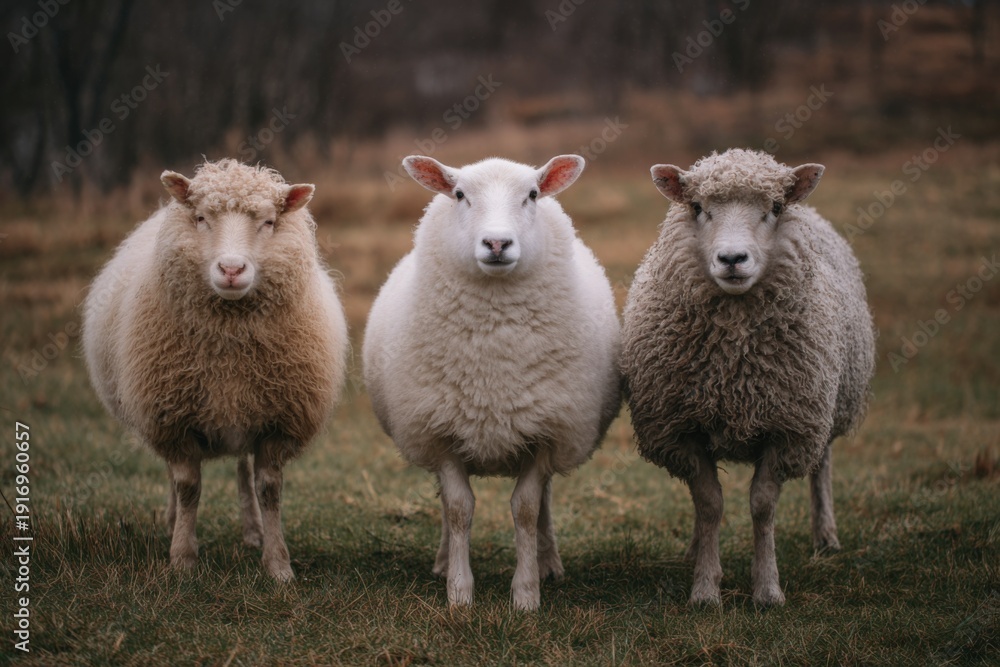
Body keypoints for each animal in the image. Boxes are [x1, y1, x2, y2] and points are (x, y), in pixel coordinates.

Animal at [82, 159, 348, 581]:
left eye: (269, 222)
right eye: (202, 218)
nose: (231, 268)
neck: (229, 338)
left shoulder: (277, 422)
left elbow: (269, 491)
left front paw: (278, 564)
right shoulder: (173, 420)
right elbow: (188, 487)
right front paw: (182, 559)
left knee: (242, 468)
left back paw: (253, 531)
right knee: (175, 478)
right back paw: (172, 521)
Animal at [363, 154, 621, 610]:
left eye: (532, 194)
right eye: (459, 194)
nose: (497, 244)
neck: (493, 364)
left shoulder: (546, 432)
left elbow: (527, 509)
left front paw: (527, 594)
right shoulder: (441, 432)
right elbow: (458, 509)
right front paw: (459, 593)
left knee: (546, 500)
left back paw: (548, 561)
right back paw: (443, 561)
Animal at [621, 149, 875, 606]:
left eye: (774, 207)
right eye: (697, 207)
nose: (733, 260)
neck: (734, 365)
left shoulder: (788, 428)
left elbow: (762, 507)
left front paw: (768, 588)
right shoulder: (682, 428)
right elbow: (708, 504)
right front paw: (705, 587)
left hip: (824, 407)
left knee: (823, 465)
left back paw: (826, 536)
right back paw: (693, 549)